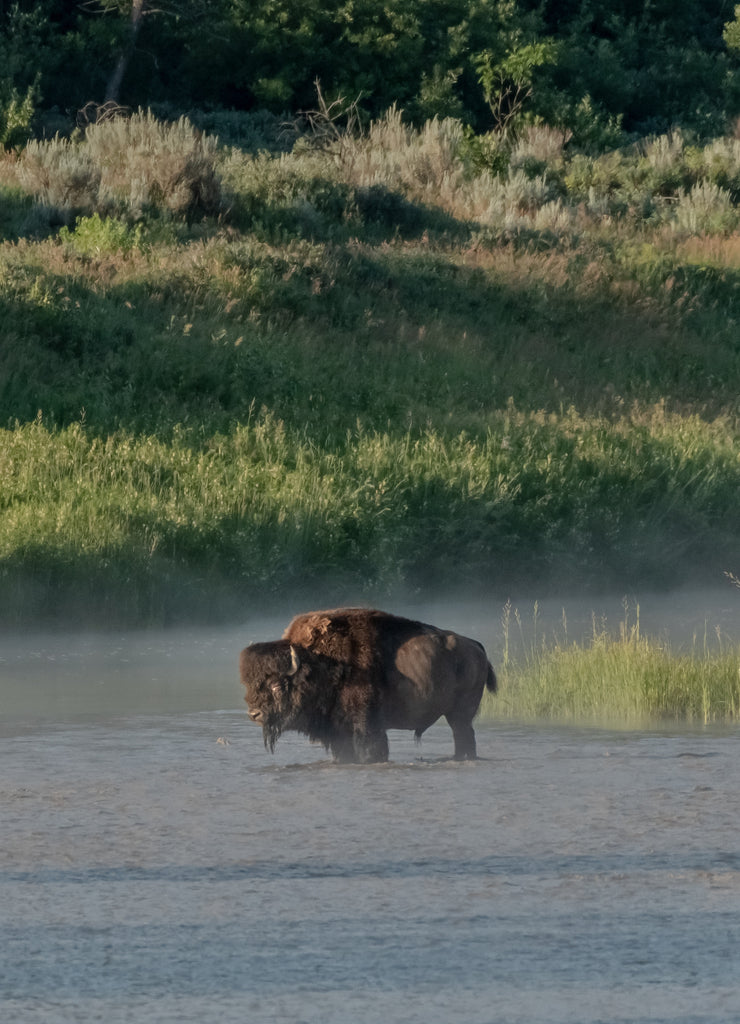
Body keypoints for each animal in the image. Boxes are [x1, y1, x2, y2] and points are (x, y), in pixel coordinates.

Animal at [240, 602, 497, 765]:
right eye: (249, 685)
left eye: (277, 685)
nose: (254, 714)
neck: (320, 664)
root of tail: (476, 647)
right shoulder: (338, 732)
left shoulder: (367, 725)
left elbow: (373, 751)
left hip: (460, 716)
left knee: (464, 737)